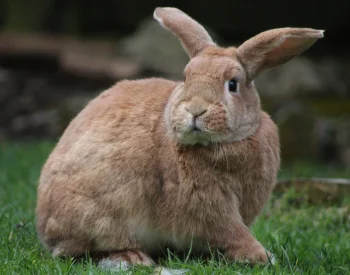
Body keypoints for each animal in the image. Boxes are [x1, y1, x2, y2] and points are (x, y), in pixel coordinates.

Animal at [34, 6, 322, 275]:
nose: (195, 110)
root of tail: (44, 224)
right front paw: (261, 256)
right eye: (186, 78)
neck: (225, 143)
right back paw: (132, 258)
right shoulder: (209, 205)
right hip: (103, 215)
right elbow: (230, 231)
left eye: (233, 84)